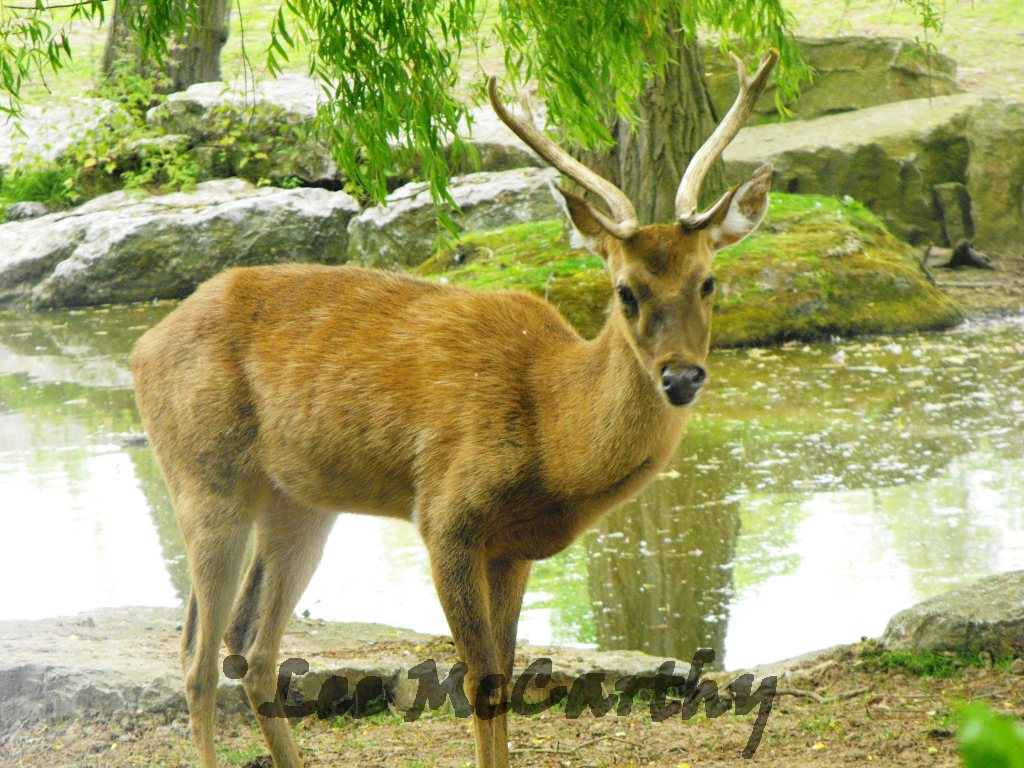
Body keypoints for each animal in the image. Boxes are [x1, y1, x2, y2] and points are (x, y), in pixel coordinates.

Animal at [131, 49, 778, 768]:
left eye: (709, 281)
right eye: (625, 291)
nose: (682, 375)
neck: (552, 439)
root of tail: (141, 347)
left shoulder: (514, 548)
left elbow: (509, 674)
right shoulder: (446, 516)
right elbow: (481, 680)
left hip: (298, 500)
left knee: (250, 643)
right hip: (203, 472)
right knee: (194, 653)